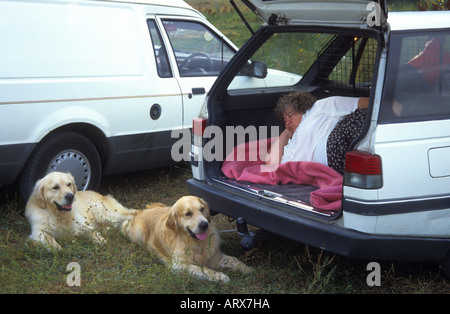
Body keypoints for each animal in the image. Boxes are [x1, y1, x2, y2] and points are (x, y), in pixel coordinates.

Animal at [121, 196, 251, 282]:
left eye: (202, 209)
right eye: (188, 213)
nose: (204, 225)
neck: (195, 243)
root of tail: (140, 212)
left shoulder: (214, 256)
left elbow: (234, 260)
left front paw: (248, 269)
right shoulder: (179, 265)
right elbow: (203, 269)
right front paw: (220, 276)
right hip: (138, 233)